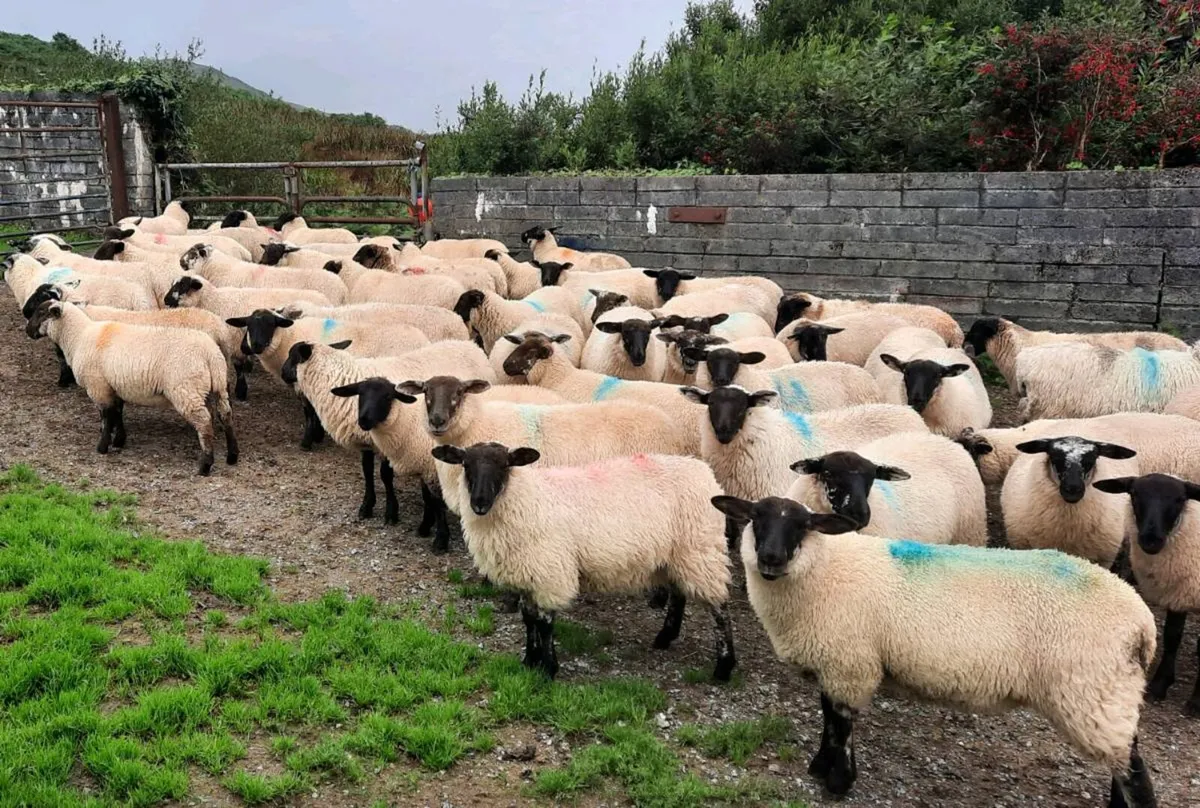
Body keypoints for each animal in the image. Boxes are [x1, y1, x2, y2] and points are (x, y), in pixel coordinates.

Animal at [281, 339, 493, 550]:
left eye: (293, 356)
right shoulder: (368, 443)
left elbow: (385, 475)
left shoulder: (388, 442)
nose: (282, 373)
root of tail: (469, 344)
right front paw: (367, 506)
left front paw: (391, 512)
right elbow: (367, 471)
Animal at [432, 442, 736, 680]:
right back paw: (665, 638)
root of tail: (702, 470)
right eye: (466, 465)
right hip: (675, 556)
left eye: (505, 465)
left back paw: (724, 666)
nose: (479, 502)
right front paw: (529, 661)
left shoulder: (549, 571)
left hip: (700, 550)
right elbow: (528, 619)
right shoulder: (527, 572)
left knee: (719, 609)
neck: (525, 498)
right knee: (678, 594)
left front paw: (548, 668)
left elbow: (545, 623)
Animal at [711, 495, 1157, 805]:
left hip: (1091, 691)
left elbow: (842, 725)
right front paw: (820, 768)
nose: (770, 557)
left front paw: (838, 781)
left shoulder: (850, 663)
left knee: (1133, 771)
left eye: (803, 526)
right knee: (1126, 760)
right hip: (1108, 692)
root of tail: (1142, 623)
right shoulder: (834, 663)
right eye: (756, 518)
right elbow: (827, 717)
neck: (823, 572)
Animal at [1094, 473, 1200, 715]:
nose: (1151, 540)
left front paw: (1197, 701)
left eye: (1180, 499)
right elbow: (1172, 636)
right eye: (1134, 494)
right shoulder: (1179, 592)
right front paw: (1160, 684)